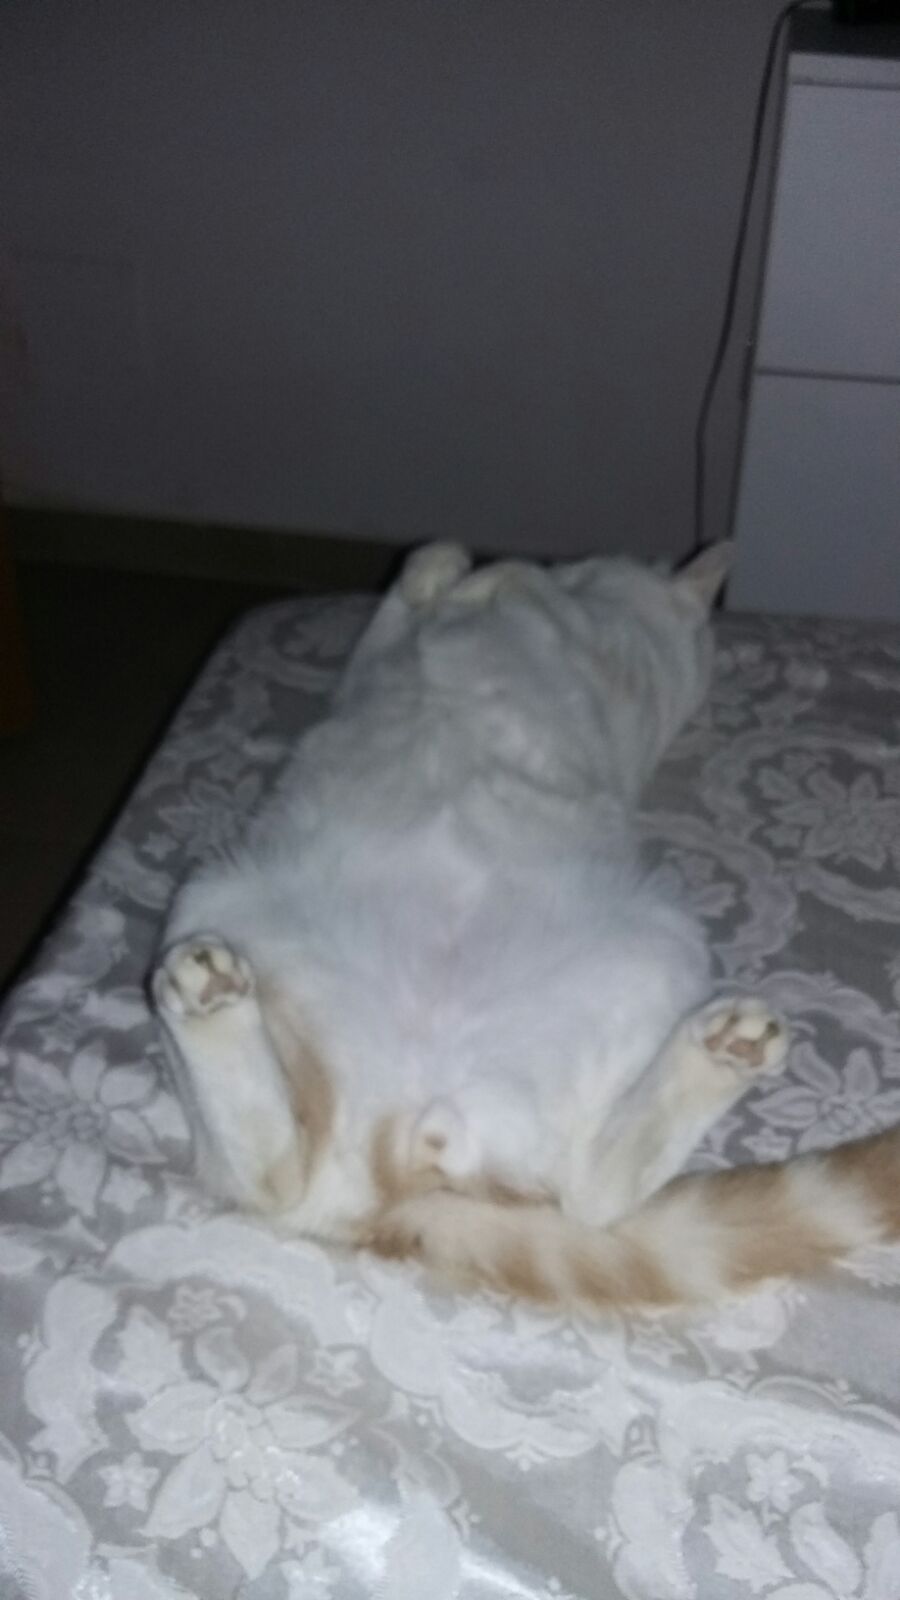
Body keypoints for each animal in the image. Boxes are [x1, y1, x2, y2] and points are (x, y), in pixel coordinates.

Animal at [152, 541, 900, 1311]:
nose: (569, 573)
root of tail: (410, 1159)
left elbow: (450, 578)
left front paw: (481, 573)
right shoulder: (386, 652)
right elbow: (413, 601)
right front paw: (475, 575)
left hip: (657, 940)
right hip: (218, 894)